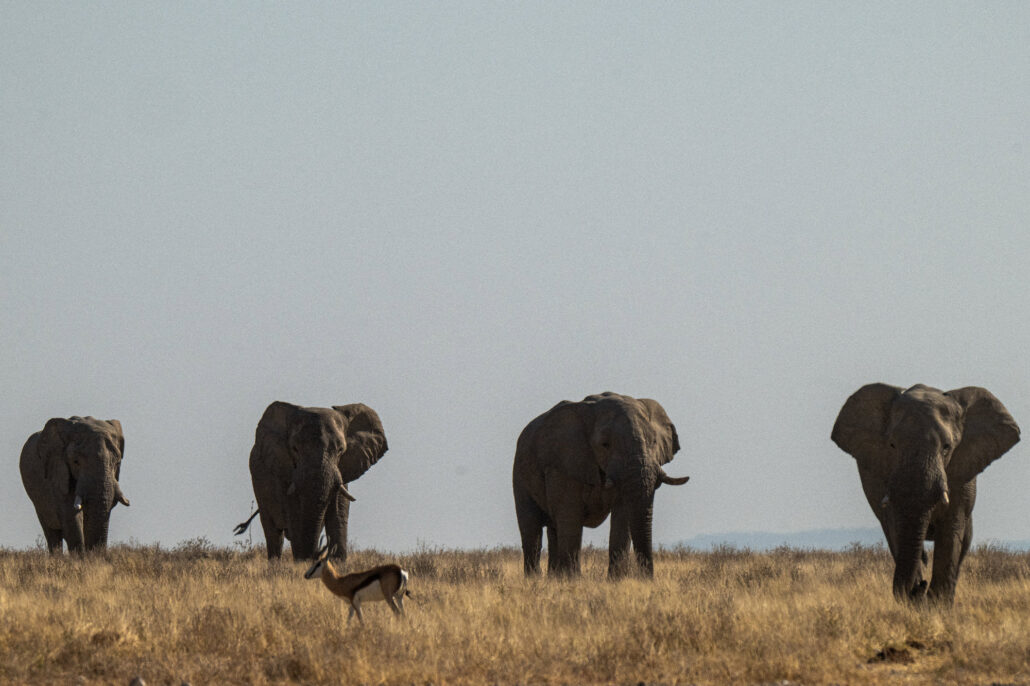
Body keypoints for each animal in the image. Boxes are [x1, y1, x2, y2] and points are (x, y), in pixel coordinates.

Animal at [20, 416, 130, 554]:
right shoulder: (58, 473)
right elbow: (71, 518)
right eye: (75, 462)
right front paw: (80, 557)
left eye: (117, 462)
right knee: (51, 532)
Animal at [238, 401, 388, 562]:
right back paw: (275, 562)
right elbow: (294, 514)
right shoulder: (284, 471)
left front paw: (337, 562)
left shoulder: (342, 470)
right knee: (273, 532)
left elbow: (338, 512)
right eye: (295, 449)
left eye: (340, 450)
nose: (316, 555)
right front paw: (302, 562)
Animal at [512, 392, 690, 579]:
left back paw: (554, 578)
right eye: (605, 444)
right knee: (532, 530)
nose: (647, 579)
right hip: (519, 474)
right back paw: (535, 579)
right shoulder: (563, 465)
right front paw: (573, 581)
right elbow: (570, 516)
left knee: (553, 529)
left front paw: (616, 580)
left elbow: (622, 517)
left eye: (654, 442)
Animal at [832, 383, 1020, 603]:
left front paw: (937, 604)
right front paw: (920, 601)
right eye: (892, 445)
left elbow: (952, 530)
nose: (920, 586)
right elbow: (896, 526)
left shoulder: (961, 474)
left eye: (947, 448)